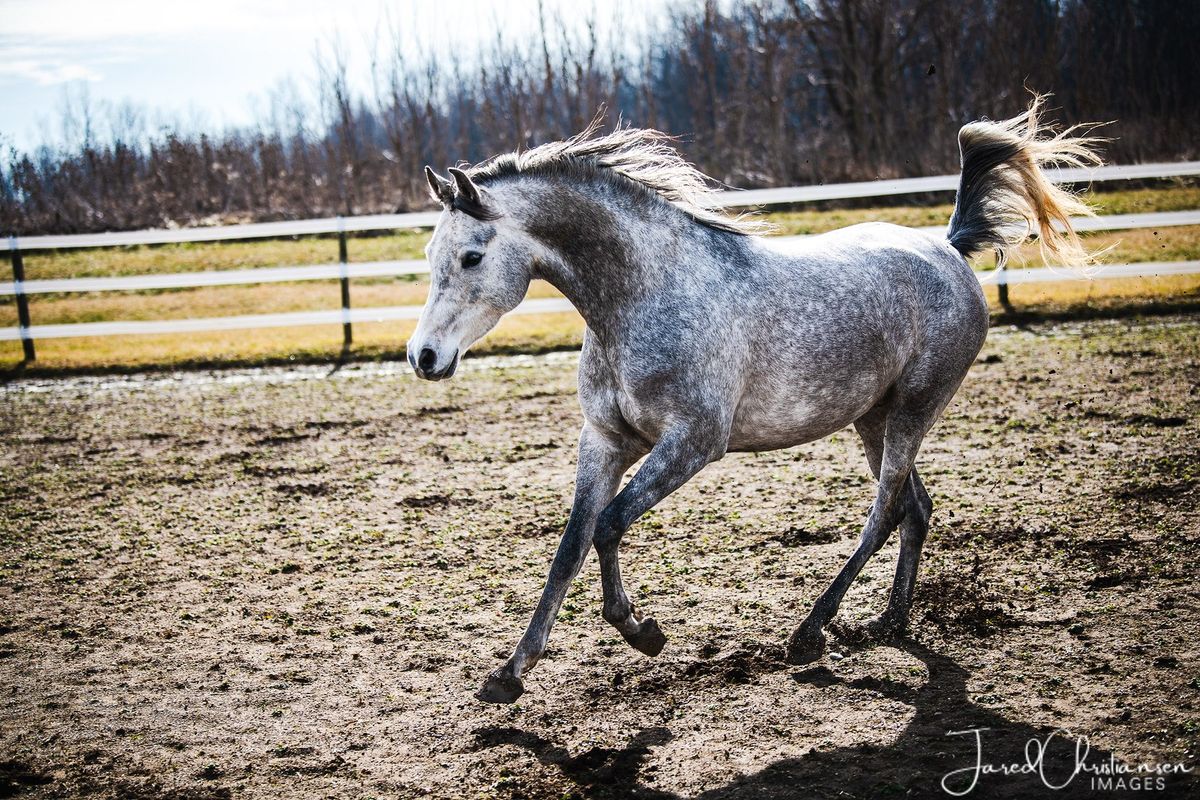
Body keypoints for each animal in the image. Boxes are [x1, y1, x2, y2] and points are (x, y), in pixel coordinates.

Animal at [410, 97, 1099, 705]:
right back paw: (890, 623)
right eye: (430, 254)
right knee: (915, 508)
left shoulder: (693, 442)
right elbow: (569, 549)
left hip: (913, 410)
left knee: (884, 513)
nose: (423, 357)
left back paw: (811, 632)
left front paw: (643, 632)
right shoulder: (604, 442)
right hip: (873, 419)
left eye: (471, 256)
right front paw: (509, 674)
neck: (643, 295)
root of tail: (949, 248)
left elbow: (608, 526)